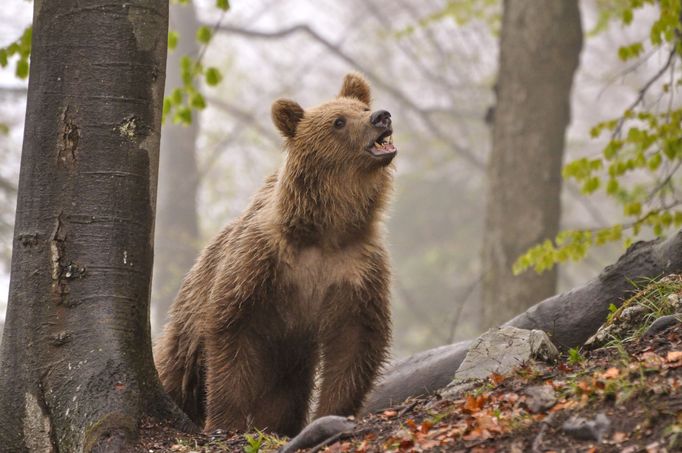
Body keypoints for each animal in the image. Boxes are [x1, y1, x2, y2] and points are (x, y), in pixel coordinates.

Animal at [154, 72, 396, 436]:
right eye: (339, 121)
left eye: (363, 108)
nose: (381, 117)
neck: (326, 230)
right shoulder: (260, 262)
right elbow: (231, 333)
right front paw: (226, 421)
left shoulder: (356, 268)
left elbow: (355, 341)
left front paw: (330, 412)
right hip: (189, 326)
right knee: (176, 369)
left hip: (289, 363)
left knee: (284, 396)